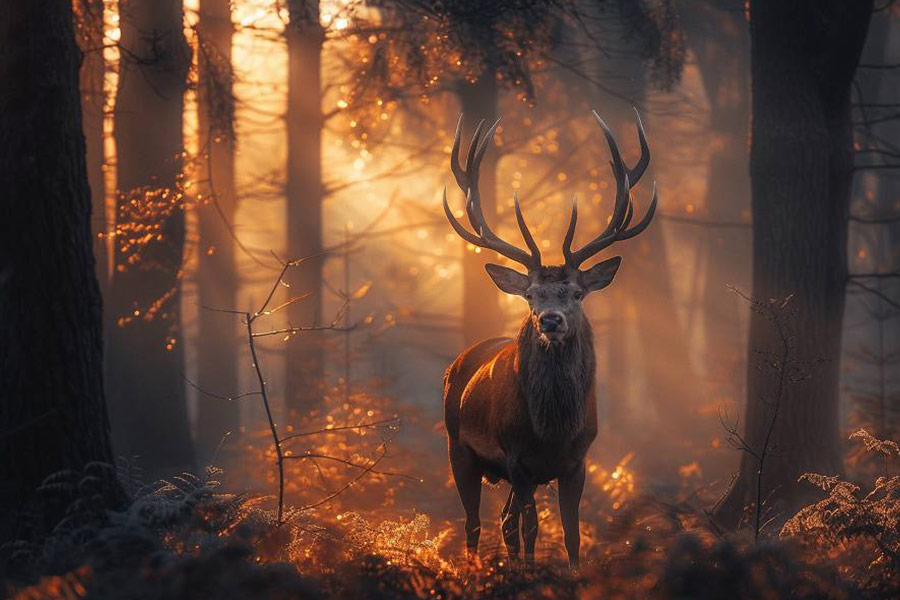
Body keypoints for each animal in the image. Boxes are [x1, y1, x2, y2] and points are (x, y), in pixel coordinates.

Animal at [441, 110, 656, 570]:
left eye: (576, 293)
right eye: (531, 295)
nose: (551, 320)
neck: (551, 429)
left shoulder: (577, 461)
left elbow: (571, 534)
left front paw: (570, 574)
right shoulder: (517, 458)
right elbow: (532, 529)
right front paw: (529, 572)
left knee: (503, 521)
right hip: (458, 447)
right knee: (475, 523)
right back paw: (473, 569)